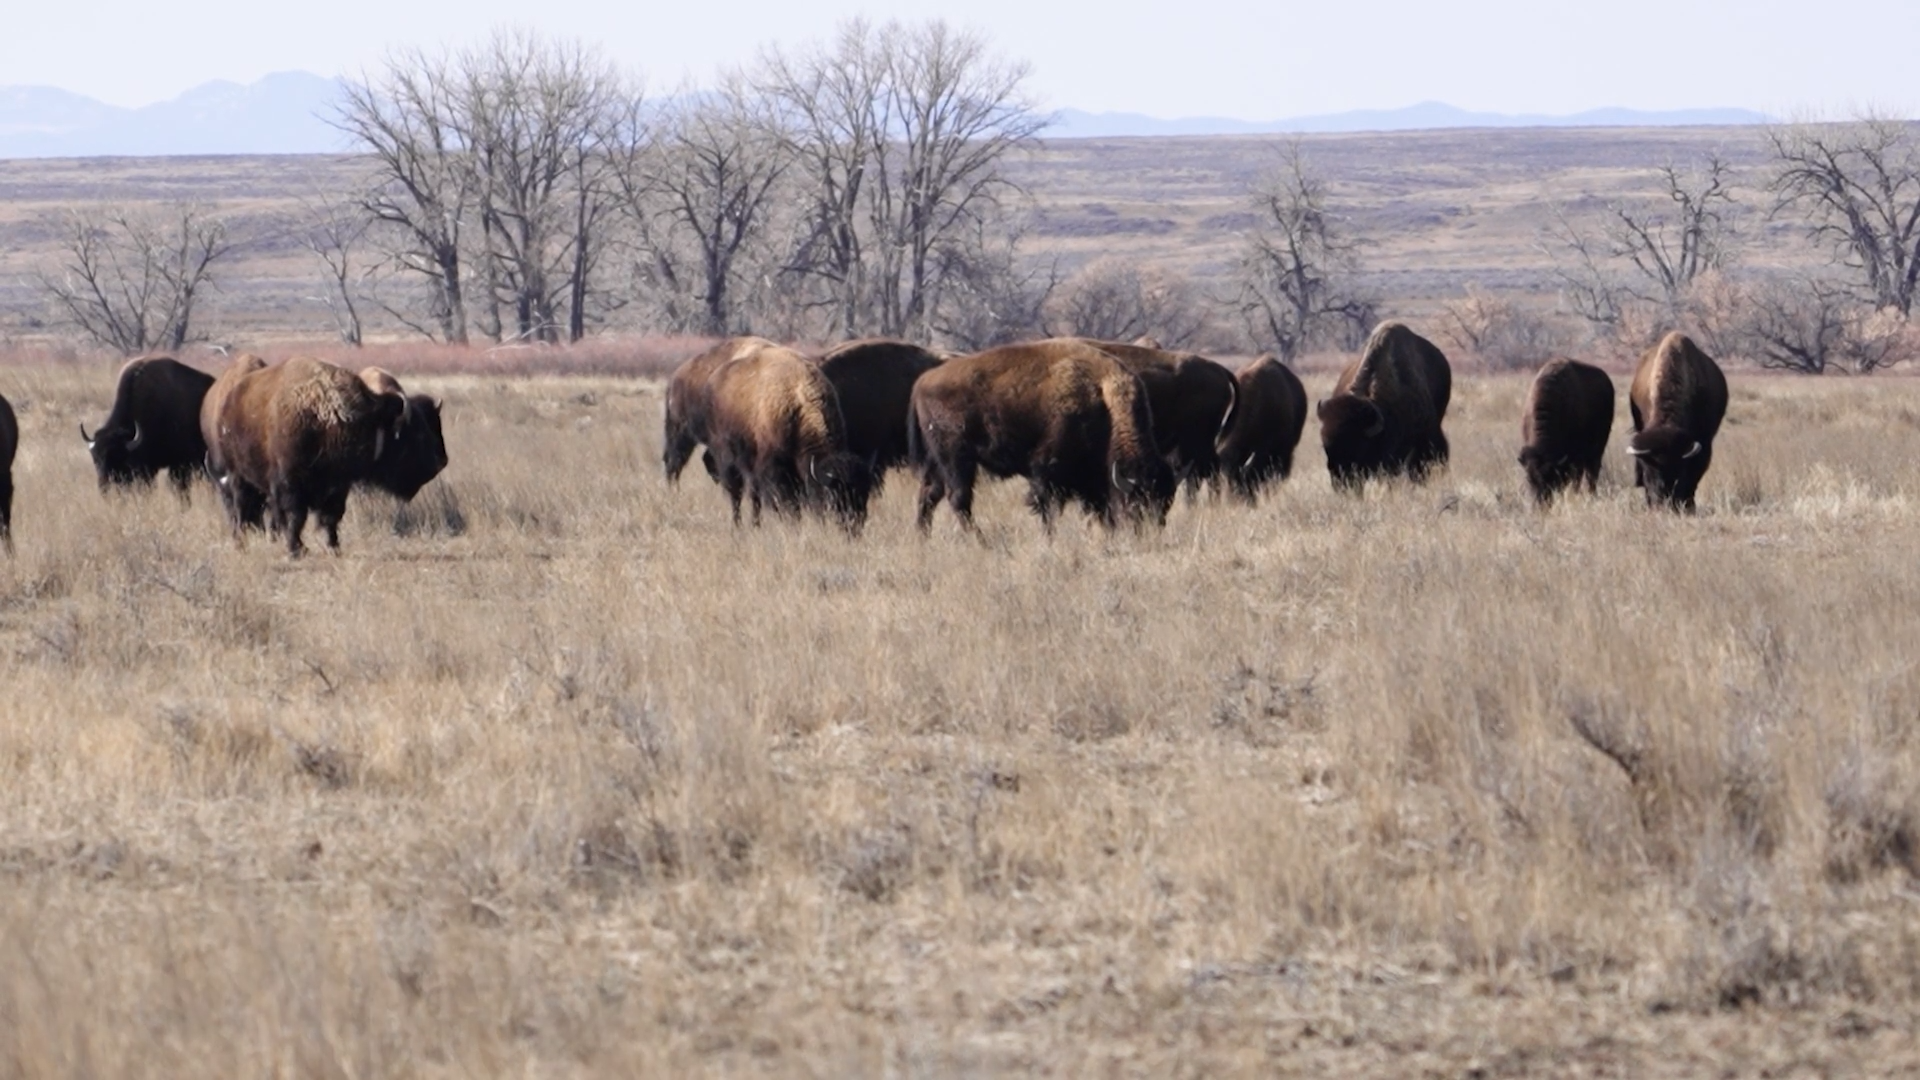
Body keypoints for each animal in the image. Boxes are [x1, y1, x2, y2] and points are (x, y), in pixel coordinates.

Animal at [212, 357, 407, 555]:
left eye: (364, 429)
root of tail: (229, 401)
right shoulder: (289, 484)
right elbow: (294, 516)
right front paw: (296, 550)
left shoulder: (338, 488)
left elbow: (330, 517)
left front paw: (333, 547)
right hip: (238, 475)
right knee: (241, 507)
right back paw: (240, 542)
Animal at [704, 341, 874, 529]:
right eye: (834, 494)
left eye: (865, 493)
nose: (854, 524)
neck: (798, 403)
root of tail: (714, 380)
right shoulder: (775, 468)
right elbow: (787, 503)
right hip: (726, 458)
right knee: (735, 494)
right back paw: (737, 526)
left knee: (754, 497)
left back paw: (756, 524)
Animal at [907, 339, 1176, 534]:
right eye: (1137, 503)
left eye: (1166, 505)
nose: (1149, 533)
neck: (1104, 400)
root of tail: (923, 381)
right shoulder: (1048, 471)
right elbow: (1048, 507)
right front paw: (1050, 537)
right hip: (957, 458)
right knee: (958, 498)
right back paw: (979, 540)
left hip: (937, 459)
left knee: (930, 494)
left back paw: (923, 537)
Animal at [1519, 358, 1615, 504]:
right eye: (1529, 479)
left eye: (1551, 478)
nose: (1541, 503)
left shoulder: (1575, 456)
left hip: (1598, 448)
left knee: (1591, 472)